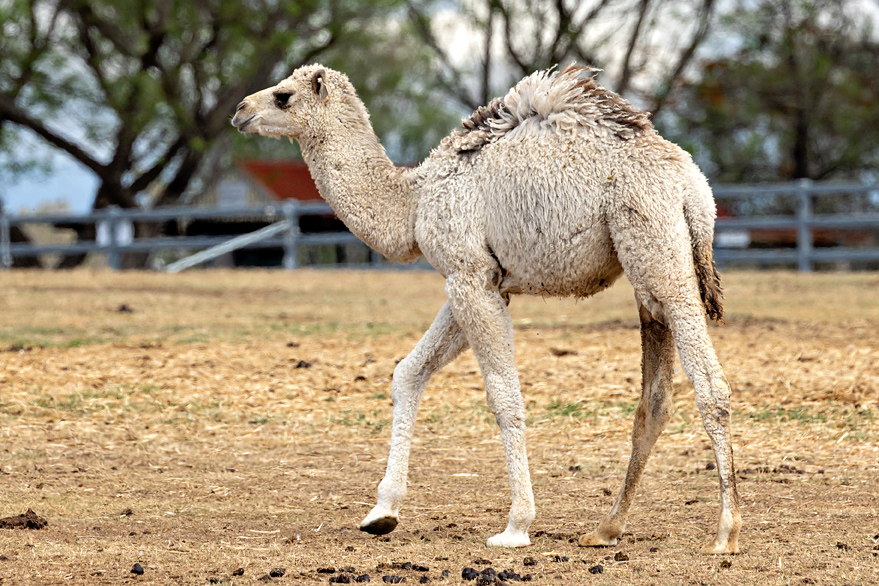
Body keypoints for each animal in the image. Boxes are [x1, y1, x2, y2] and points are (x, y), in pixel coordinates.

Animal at [231, 63, 741, 554]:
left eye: (283, 95)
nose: (240, 110)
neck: (413, 200)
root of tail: (693, 188)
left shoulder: (468, 275)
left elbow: (503, 397)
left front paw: (516, 527)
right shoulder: (479, 280)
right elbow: (408, 372)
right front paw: (381, 513)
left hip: (658, 255)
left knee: (711, 385)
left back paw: (725, 533)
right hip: (647, 274)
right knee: (656, 398)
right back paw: (606, 528)